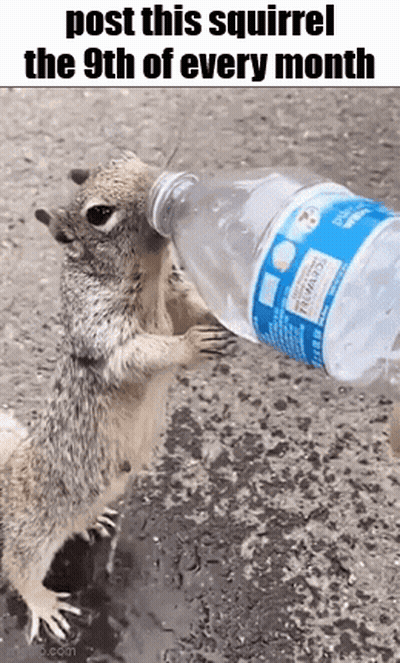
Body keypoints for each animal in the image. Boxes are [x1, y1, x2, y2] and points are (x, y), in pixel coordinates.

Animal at [0, 152, 232, 643]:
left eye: (128, 158)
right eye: (99, 214)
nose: (159, 182)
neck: (151, 276)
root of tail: (8, 479)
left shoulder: (175, 295)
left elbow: (191, 308)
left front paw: (225, 316)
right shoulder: (103, 332)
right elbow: (140, 353)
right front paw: (190, 347)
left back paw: (95, 522)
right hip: (35, 525)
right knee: (20, 564)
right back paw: (44, 604)